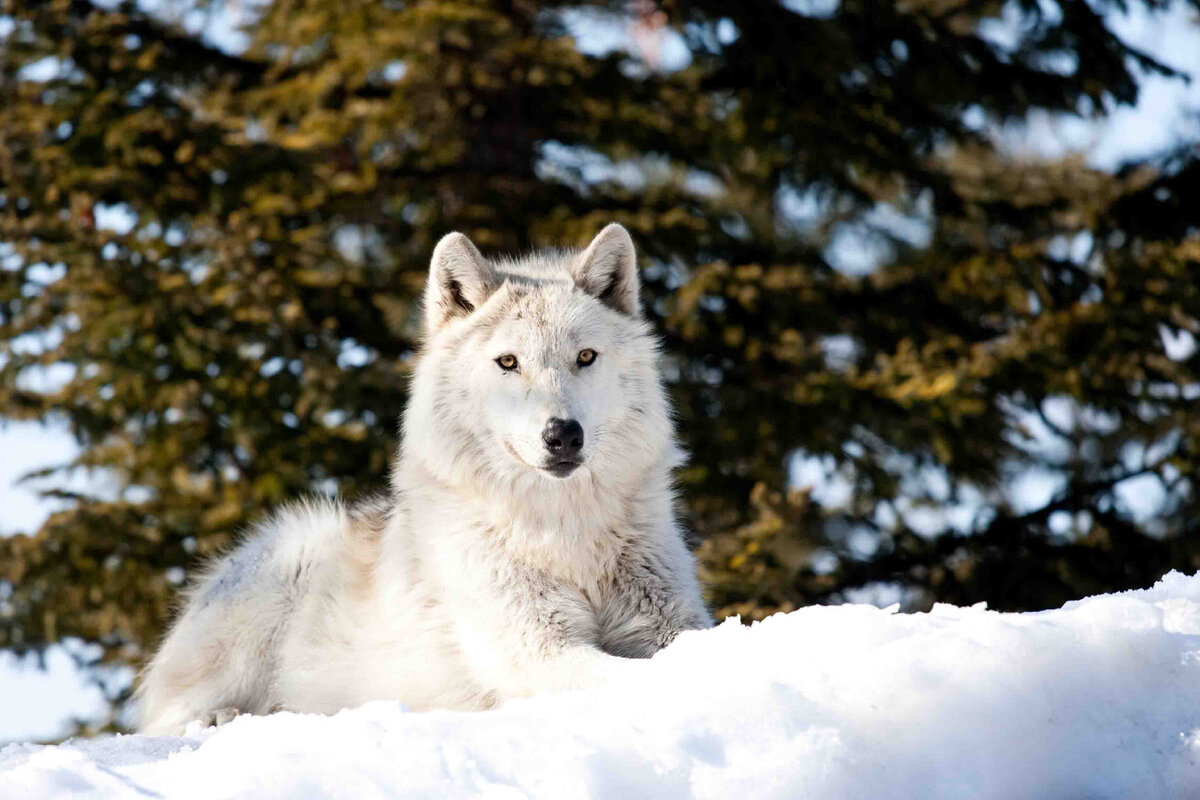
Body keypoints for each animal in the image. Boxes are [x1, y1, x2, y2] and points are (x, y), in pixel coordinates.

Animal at [138, 221, 710, 734]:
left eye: (585, 357)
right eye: (508, 362)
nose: (563, 435)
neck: (565, 534)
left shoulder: (671, 620)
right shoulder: (538, 651)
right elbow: (634, 676)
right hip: (286, 570)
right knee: (166, 721)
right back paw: (223, 719)